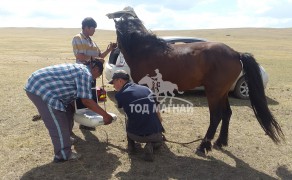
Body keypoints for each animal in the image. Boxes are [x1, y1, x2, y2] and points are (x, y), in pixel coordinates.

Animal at [108, 13, 284, 153]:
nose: (113, 47)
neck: (145, 51)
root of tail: (235, 53)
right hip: (222, 92)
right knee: (227, 114)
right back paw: (220, 142)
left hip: (213, 92)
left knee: (216, 116)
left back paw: (204, 145)